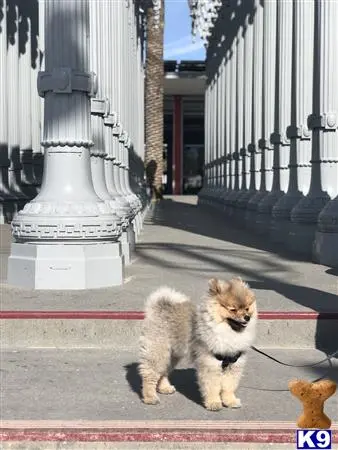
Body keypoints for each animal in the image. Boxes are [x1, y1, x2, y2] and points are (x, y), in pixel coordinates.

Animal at [139, 276, 258, 410]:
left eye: (247, 308)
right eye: (233, 309)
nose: (247, 317)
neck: (228, 332)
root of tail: (159, 307)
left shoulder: (234, 364)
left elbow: (229, 386)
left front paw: (230, 401)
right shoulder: (210, 363)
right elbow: (212, 386)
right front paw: (214, 402)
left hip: (172, 355)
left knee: (164, 371)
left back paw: (164, 388)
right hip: (158, 351)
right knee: (149, 374)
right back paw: (150, 397)